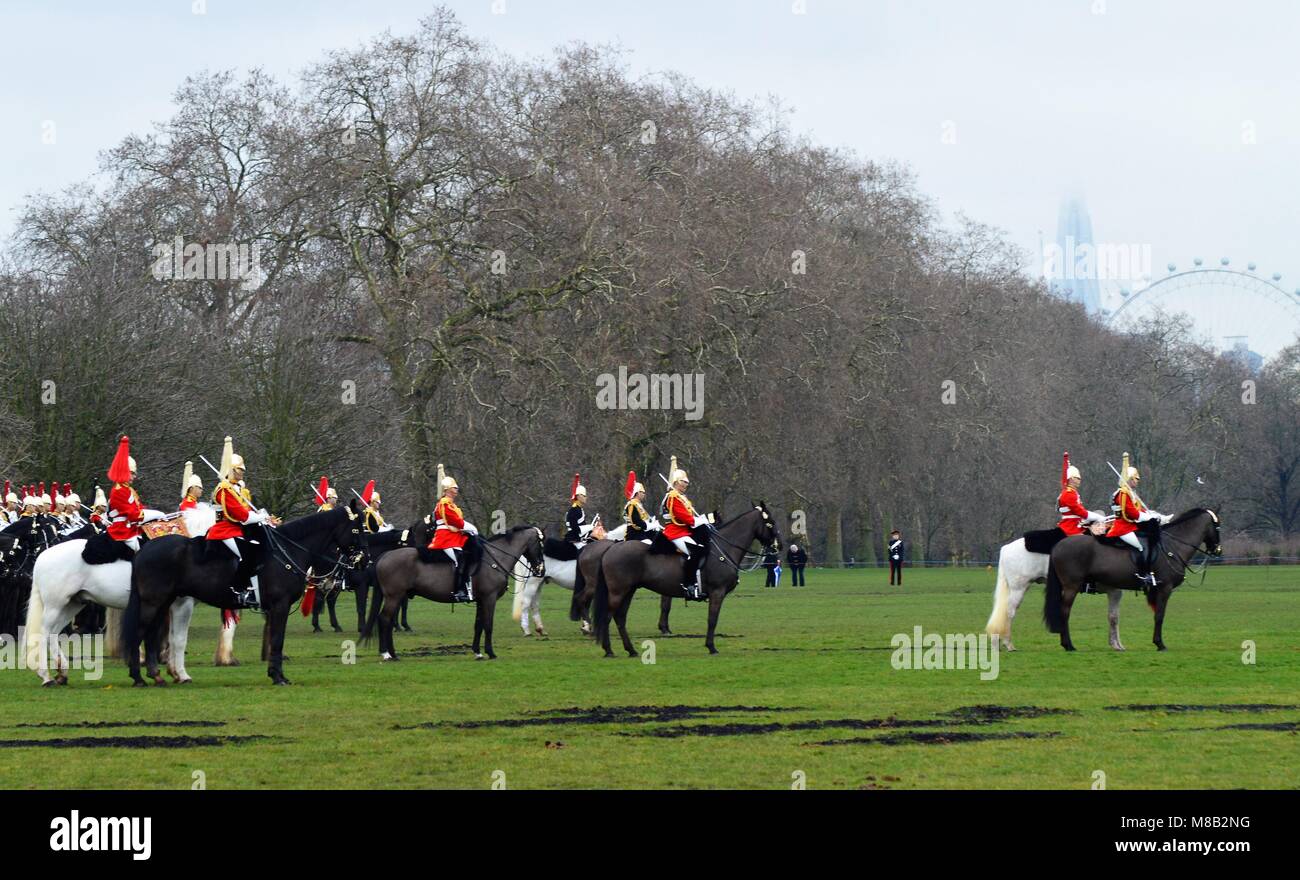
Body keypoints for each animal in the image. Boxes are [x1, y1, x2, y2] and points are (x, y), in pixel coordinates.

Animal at [22, 504, 215, 681]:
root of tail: (43, 555)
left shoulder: (171, 606)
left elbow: (173, 639)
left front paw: (174, 671)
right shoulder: (183, 603)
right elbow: (179, 640)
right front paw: (182, 674)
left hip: (72, 604)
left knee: (53, 633)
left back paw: (61, 671)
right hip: (55, 605)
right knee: (43, 633)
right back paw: (46, 676)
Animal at [124, 496, 366, 681]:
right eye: (357, 529)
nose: (364, 562)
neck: (286, 550)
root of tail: (145, 548)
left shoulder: (274, 608)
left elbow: (274, 639)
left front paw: (275, 673)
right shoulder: (280, 605)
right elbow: (277, 640)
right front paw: (278, 676)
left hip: (165, 602)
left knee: (151, 635)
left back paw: (156, 676)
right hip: (153, 602)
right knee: (138, 632)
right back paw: (138, 677)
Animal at [592, 504, 780, 655]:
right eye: (770, 523)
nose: (779, 546)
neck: (724, 549)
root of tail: (612, 547)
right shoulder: (717, 592)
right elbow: (712, 620)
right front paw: (711, 647)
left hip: (628, 591)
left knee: (620, 617)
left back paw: (630, 650)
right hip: (618, 591)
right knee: (608, 617)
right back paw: (609, 650)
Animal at [982, 532, 1128, 649]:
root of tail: (1006, 548)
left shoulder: (1114, 592)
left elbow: (1113, 616)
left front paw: (1116, 644)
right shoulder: (1115, 591)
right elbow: (1114, 618)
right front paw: (1117, 645)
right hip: (1019, 588)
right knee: (1009, 612)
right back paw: (1008, 644)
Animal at [1040, 512, 1222, 649]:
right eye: (1217, 526)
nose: (1218, 550)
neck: (1172, 546)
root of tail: (1058, 545)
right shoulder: (1165, 588)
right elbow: (1160, 615)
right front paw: (1160, 644)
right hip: (1071, 587)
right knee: (1064, 612)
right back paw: (1069, 645)